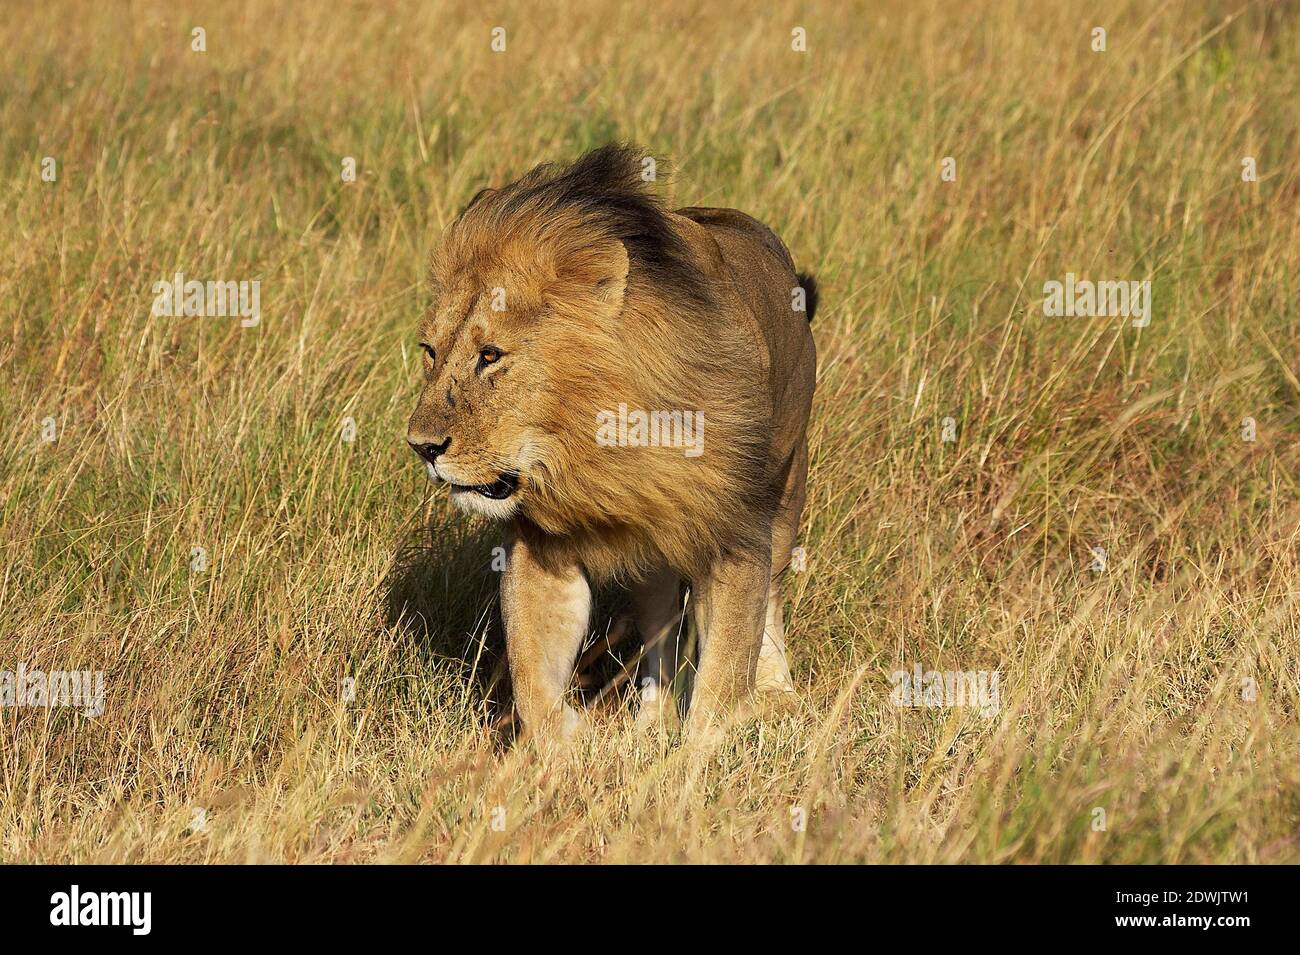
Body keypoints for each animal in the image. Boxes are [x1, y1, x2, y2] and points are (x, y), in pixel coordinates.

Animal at [407, 144, 817, 739]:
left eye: (490, 355)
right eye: (430, 352)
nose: (421, 446)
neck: (598, 453)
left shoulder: (735, 538)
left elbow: (721, 682)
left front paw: (701, 755)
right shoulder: (540, 548)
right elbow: (534, 679)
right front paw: (570, 748)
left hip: (786, 493)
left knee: (774, 593)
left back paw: (776, 691)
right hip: (651, 558)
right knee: (660, 625)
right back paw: (650, 720)